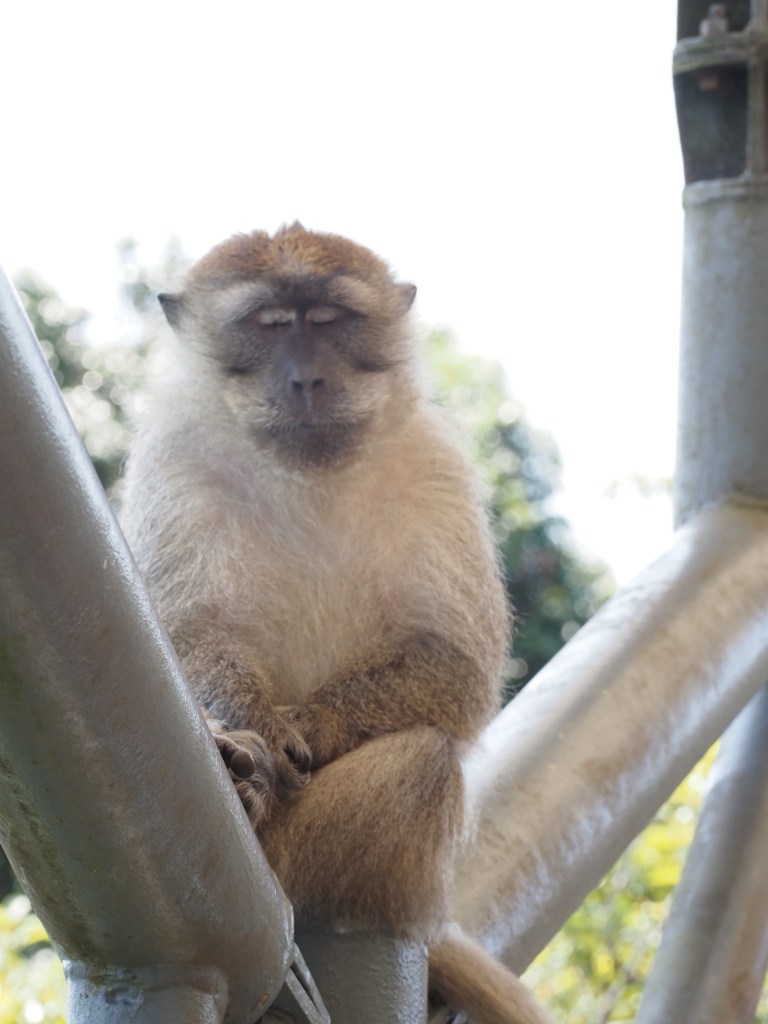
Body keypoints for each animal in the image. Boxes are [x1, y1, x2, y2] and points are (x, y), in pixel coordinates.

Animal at [119, 224, 555, 1024]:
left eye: (327, 321)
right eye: (268, 324)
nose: (306, 380)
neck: (306, 474)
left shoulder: (434, 461)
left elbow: (454, 661)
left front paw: (305, 728)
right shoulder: (175, 458)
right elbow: (181, 635)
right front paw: (255, 730)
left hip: (310, 864)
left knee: (422, 762)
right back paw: (241, 771)